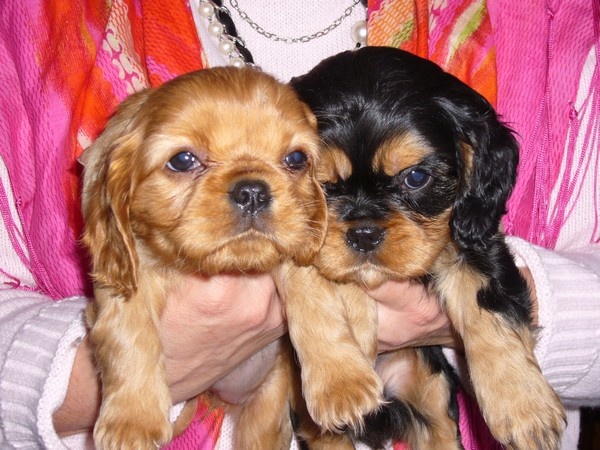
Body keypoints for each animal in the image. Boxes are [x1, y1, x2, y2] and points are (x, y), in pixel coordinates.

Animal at [81, 66, 327, 449]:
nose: (253, 191)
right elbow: (129, 333)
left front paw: (342, 380)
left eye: (296, 159)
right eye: (183, 160)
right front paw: (132, 422)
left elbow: (312, 297)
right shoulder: (123, 281)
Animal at [288, 47, 566, 449]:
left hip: (432, 395)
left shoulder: (476, 238)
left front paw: (522, 404)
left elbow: (487, 307)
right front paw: (343, 374)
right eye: (322, 185)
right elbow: (312, 282)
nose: (364, 234)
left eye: (416, 178)